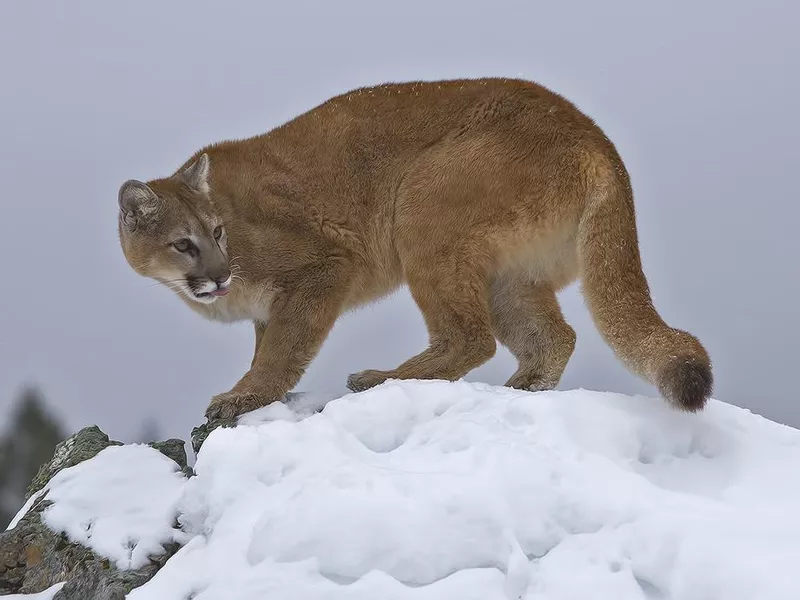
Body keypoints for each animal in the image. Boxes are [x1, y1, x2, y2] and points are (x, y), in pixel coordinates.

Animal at [117, 77, 712, 420]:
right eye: (183, 243)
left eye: (217, 233)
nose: (220, 275)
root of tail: (594, 136)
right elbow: (269, 345)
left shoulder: (324, 267)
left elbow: (283, 352)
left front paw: (243, 397)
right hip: (509, 274)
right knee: (552, 337)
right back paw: (522, 390)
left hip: (423, 206)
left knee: (471, 338)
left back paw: (381, 379)